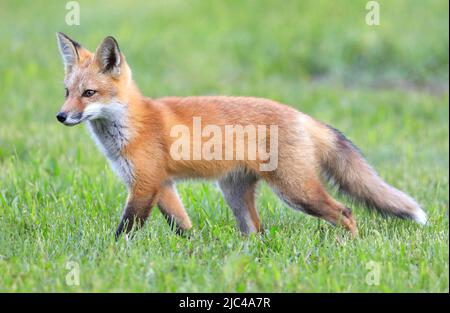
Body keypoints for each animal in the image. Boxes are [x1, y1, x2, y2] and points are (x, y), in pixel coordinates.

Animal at [55, 33, 426, 238]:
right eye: (67, 92)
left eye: (89, 93)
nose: (61, 116)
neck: (132, 125)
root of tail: (301, 115)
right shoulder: (163, 185)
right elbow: (183, 228)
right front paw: (194, 253)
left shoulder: (145, 185)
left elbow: (125, 231)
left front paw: (111, 255)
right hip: (235, 193)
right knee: (257, 231)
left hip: (296, 191)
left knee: (345, 212)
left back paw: (349, 245)